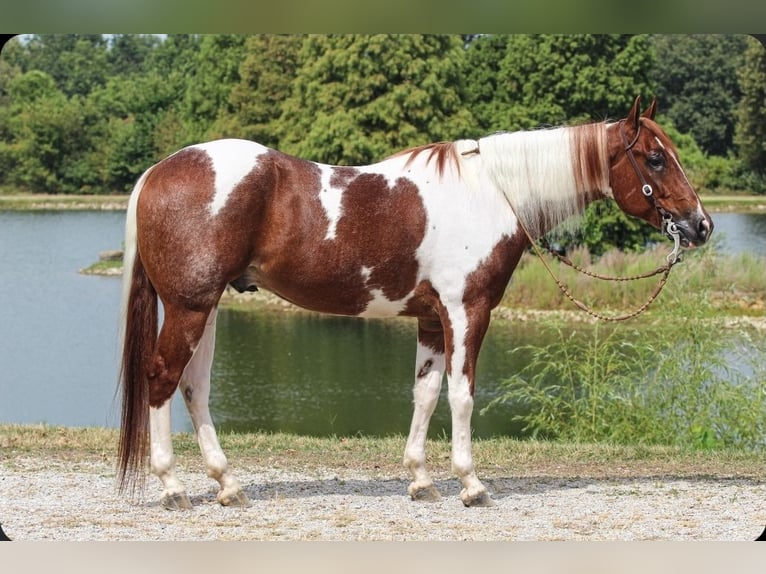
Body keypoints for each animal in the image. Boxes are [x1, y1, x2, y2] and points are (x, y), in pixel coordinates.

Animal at [117, 96, 713, 510]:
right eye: (655, 159)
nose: (701, 226)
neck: (492, 193)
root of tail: (159, 171)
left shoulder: (431, 320)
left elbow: (425, 396)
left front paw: (422, 480)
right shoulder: (467, 312)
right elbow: (462, 396)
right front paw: (471, 484)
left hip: (208, 307)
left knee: (194, 387)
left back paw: (228, 484)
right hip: (190, 306)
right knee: (163, 377)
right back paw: (172, 488)